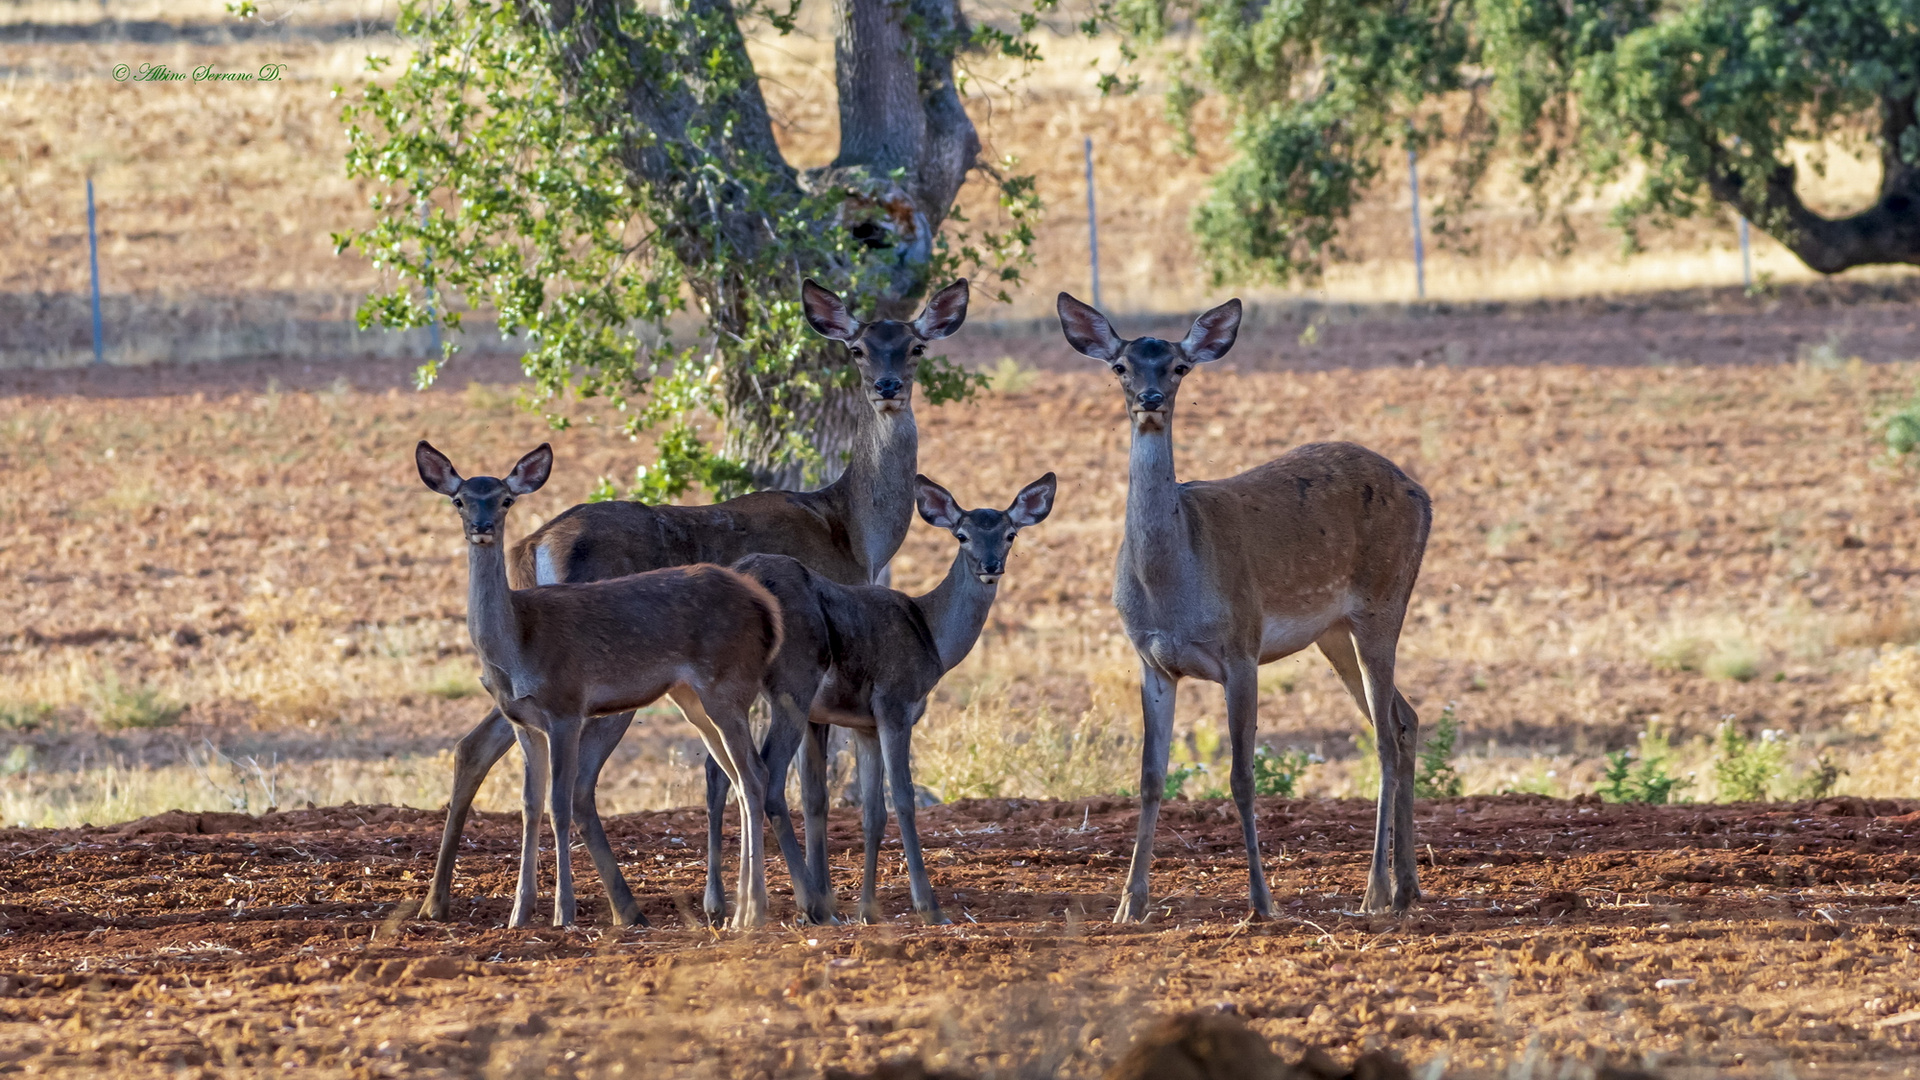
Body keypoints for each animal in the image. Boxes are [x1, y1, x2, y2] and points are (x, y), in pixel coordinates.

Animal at [416, 441, 783, 930]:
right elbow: (529, 805)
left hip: (727, 685)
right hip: (694, 699)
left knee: (754, 773)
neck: (520, 645)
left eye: (505, 499)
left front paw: (563, 912)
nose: (482, 527)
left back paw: (752, 910)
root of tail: (767, 611)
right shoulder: (524, 720)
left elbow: (558, 803)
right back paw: (739, 910)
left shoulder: (566, 706)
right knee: (740, 777)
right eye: (459, 500)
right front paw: (519, 913)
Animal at [721, 466, 1067, 922]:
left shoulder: (864, 724)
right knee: (769, 778)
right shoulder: (895, 703)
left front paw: (868, 908)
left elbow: (872, 812)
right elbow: (903, 797)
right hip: (793, 683)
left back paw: (747, 908)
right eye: (962, 535)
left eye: (1010, 534)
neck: (931, 639)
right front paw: (929, 906)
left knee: (737, 774)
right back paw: (810, 904)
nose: (990, 566)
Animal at [1059, 292, 1436, 914]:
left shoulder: (1242, 646)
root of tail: (1422, 494)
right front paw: (1129, 904)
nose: (1150, 401)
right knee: (1404, 720)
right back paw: (1407, 887)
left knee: (1383, 737)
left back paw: (1374, 892)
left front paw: (1262, 900)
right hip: (1333, 632)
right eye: (1120, 366)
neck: (1172, 586)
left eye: (1179, 367)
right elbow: (1149, 777)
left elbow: (1241, 775)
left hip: (1383, 602)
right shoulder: (1151, 660)